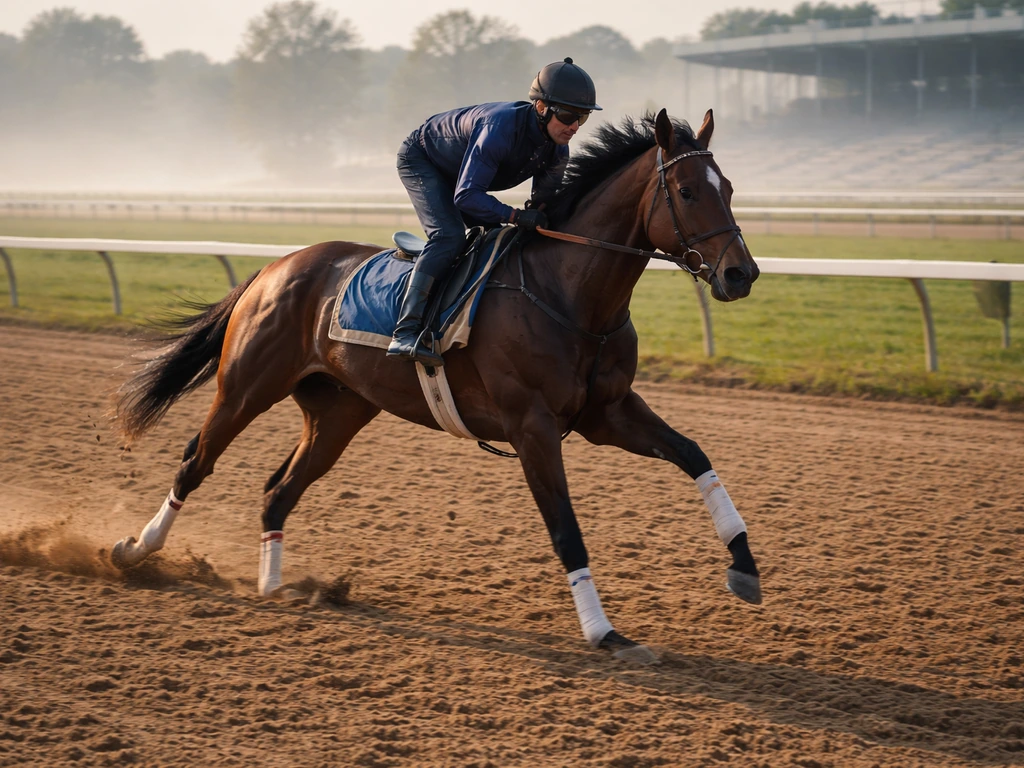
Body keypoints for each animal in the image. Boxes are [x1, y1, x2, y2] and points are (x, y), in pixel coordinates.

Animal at [111, 108, 761, 662]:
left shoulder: (609, 413)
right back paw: (136, 550)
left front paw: (745, 568)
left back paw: (274, 586)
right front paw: (604, 632)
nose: (741, 274)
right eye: (686, 191)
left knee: (278, 490)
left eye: (728, 187)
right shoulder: (532, 428)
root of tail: (277, 265)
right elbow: (566, 531)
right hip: (247, 386)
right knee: (196, 462)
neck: (567, 294)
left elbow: (695, 456)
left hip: (339, 413)